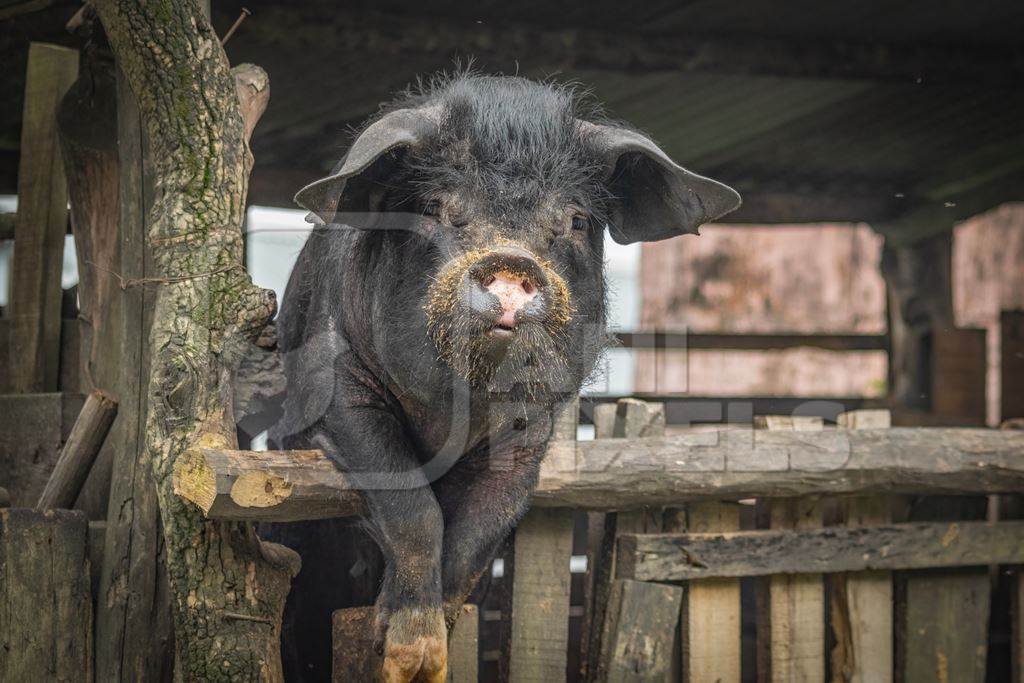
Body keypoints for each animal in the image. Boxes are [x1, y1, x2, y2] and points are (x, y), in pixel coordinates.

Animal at [268, 72, 741, 679]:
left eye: (575, 219)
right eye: (434, 207)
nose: (513, 262)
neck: (455, 409)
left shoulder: (529, 435)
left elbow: (476, 534)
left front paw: (434, 654)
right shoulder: (333, 390)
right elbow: (414, 507)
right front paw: (406, 659)